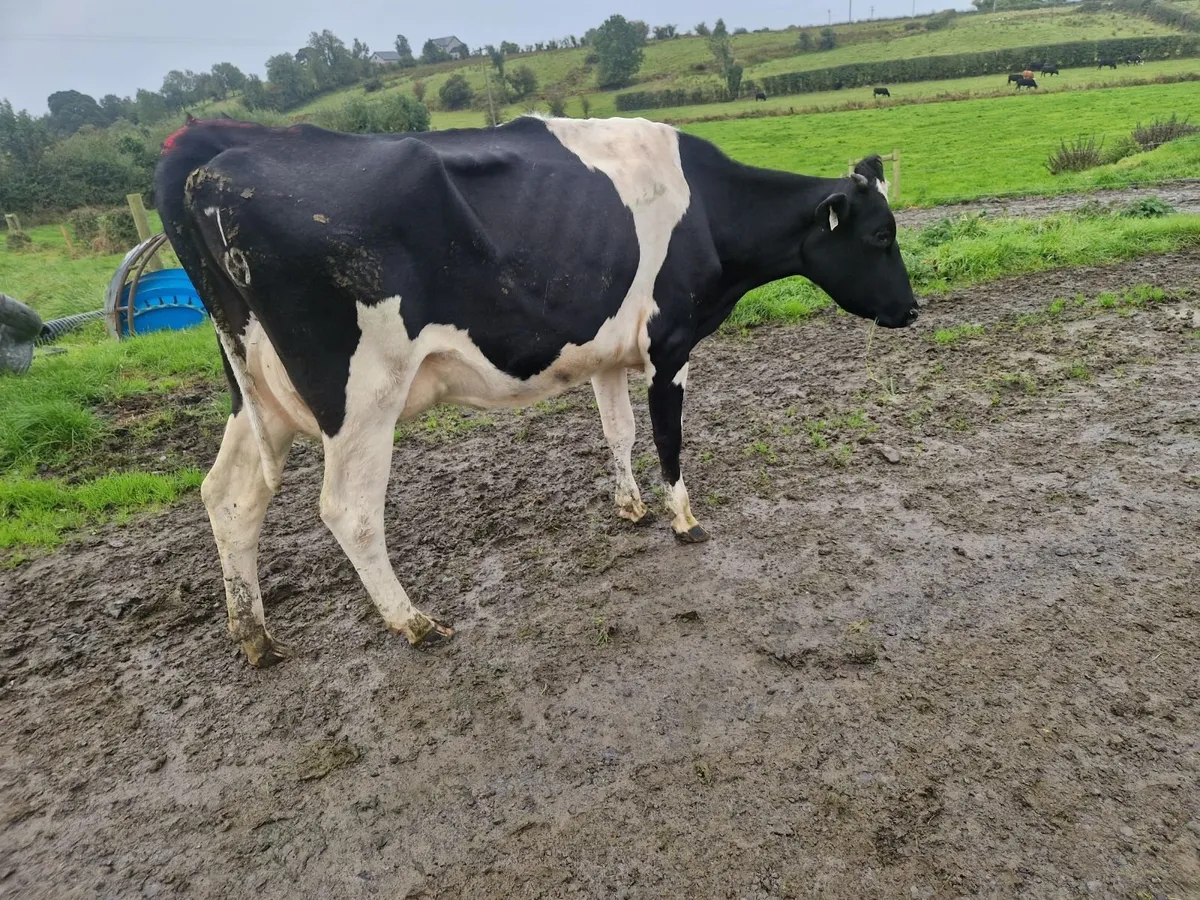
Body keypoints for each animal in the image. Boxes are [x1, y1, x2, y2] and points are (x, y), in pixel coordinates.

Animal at [155, 114, 919, 667]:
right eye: (881, 235)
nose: (913, 311)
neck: (705, 208)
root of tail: (210, 157)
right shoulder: (670, 342)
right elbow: (668, 436)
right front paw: (683, 519)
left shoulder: (607, 352)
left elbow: (619, 431)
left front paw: (630, 508)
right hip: (361, 393)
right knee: (349, 508)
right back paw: (414, 622)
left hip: (261, 395)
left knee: (230, 497)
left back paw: (254, 637)